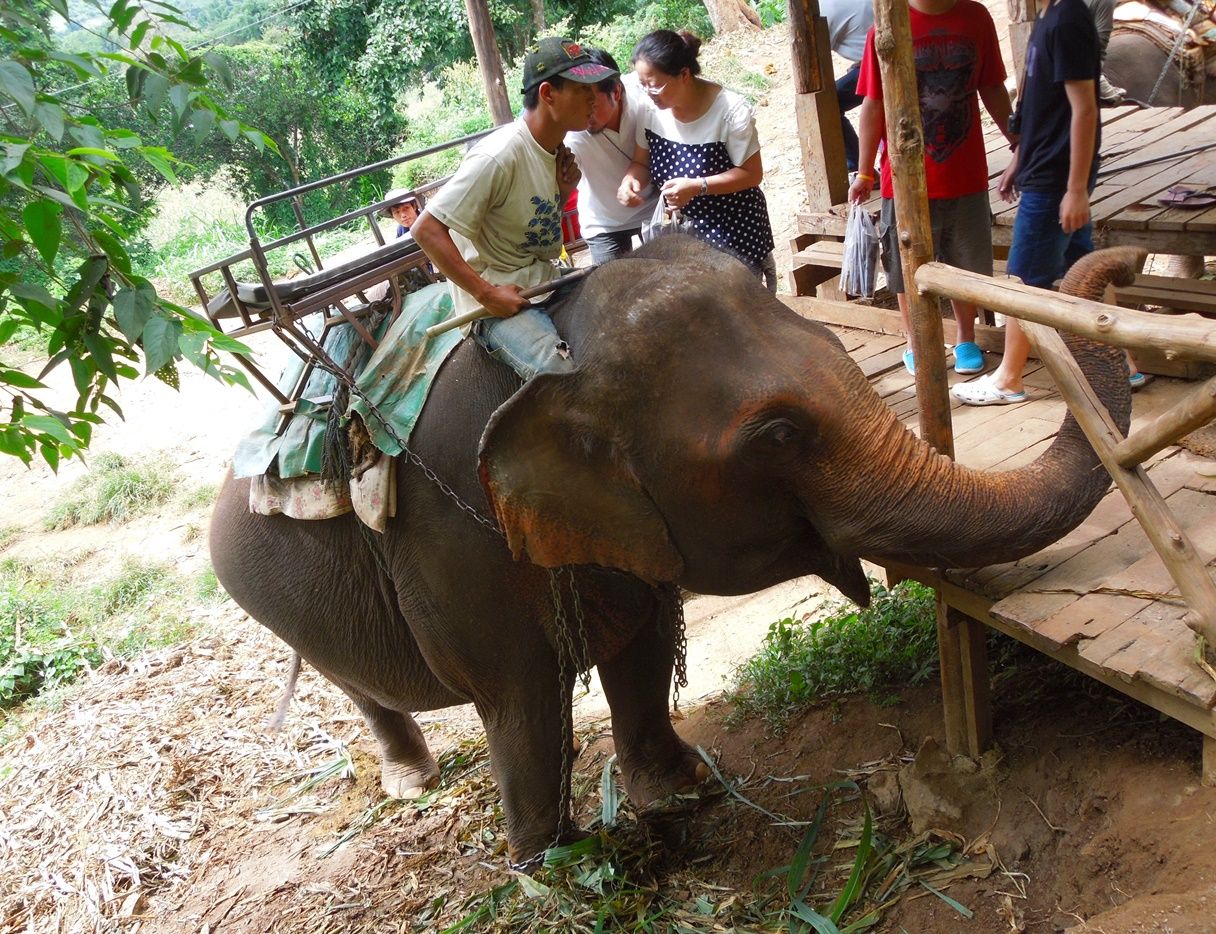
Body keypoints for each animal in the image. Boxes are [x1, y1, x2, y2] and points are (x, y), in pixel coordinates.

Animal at [210, 235, 1137, 868]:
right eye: (776, 434)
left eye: (844, 351)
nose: (1121, 264)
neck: (552, 349)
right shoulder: (454, 540)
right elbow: (521, 700)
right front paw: (552, 865)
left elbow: (645, 645)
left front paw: (679, 789)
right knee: (358, 686)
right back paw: (413, 783)